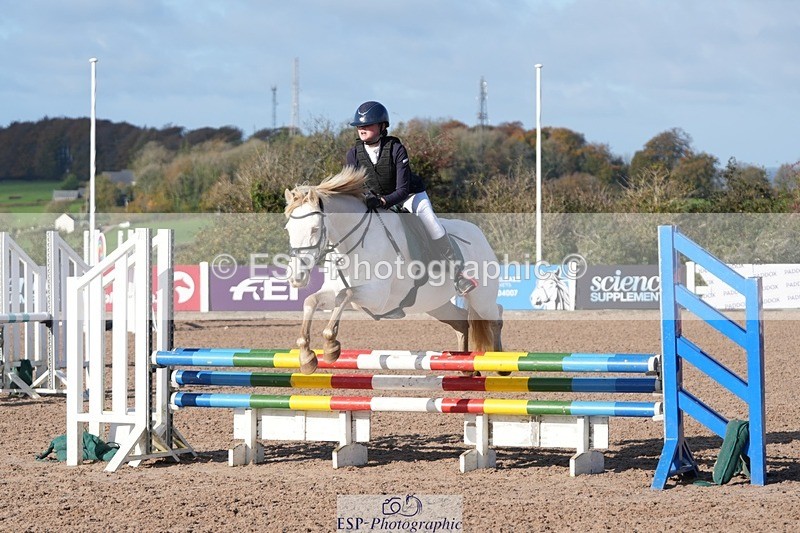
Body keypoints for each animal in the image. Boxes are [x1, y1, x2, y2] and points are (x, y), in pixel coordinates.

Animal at [283, 166, 503, 374]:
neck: (351, 245)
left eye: (314, 229)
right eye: (288, 229)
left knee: (496, 316)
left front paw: (330, 347)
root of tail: (478, 233)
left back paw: (501, 364)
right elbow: (311, 300)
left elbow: (345, 295)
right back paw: (466, 368)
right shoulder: (334, 291)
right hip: (435, 304)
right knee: (461, 321)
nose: (296, 277)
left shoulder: (377, 297)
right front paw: (306, 356)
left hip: (481, 298)